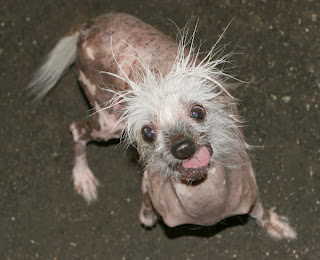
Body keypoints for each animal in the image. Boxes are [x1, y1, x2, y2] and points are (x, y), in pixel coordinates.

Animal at [28, 13, 296, 239]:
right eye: (147, 132)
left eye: (198, 112)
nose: (183, 147)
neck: (205, 203)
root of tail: (88, 27)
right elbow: (147, 214)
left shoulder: (251, 190)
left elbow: (258, 210)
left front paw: (275, 225)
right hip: (109, 122)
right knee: (77, 130)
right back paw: (83, 177)